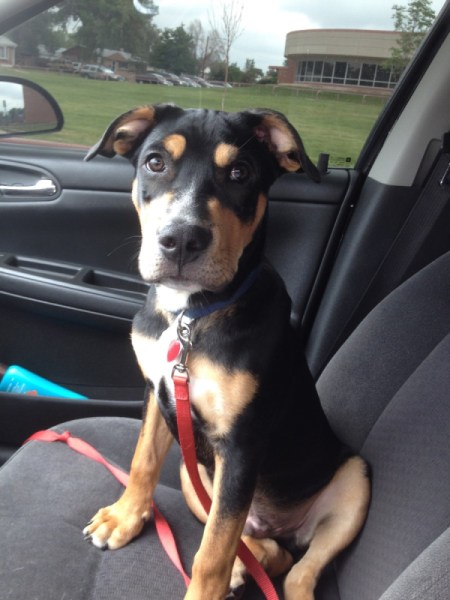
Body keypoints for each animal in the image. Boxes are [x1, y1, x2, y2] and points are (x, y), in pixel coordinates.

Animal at [83, 105, 370, 596]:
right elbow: (143, 461)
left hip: (354, 481)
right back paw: (247, 563)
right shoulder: (158, 394)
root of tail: (277, 526)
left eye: (240, 173)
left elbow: (211, 554)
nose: (181, 240)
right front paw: (123, 517)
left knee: (296, 568)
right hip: (194, 475)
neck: (191, 313)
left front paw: (205, 589)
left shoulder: (241, 443)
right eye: (155, 162)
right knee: (260, 546)